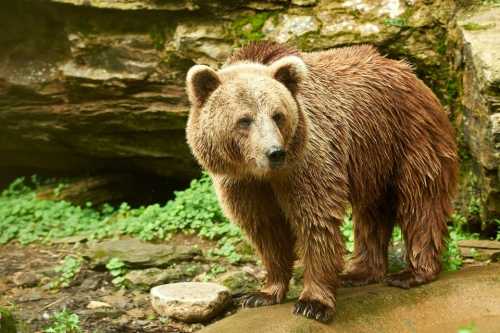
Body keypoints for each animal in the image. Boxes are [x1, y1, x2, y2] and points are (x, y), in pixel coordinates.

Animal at [184, 41, 458, 322]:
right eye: (244, 119)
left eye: (278, 115)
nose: (275, 152)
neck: (264, 174)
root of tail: (408, 70)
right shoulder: (243, 184)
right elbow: (266, 229)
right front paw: (262, 294)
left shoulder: (306, 162)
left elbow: (315, 220)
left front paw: (313, 303)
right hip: (372, 160)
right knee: (372, 212)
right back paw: (360, 272)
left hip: (408, 138)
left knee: (420, 201)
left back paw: (412, 273)